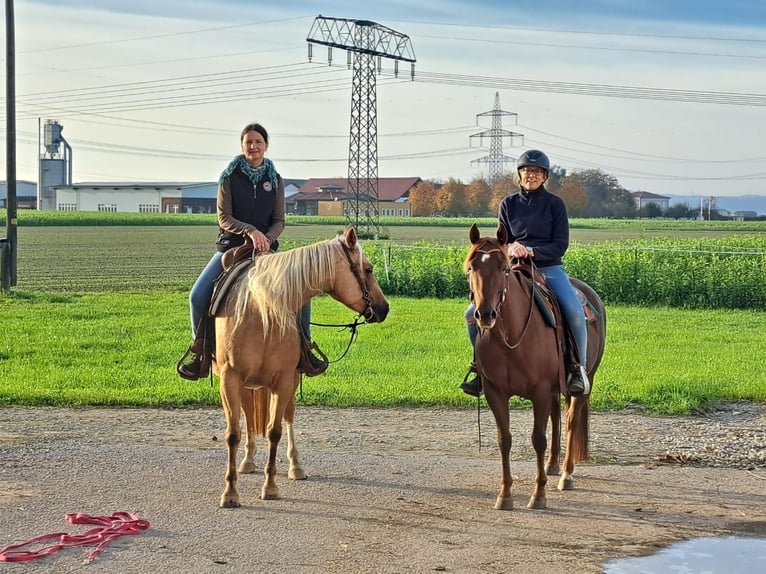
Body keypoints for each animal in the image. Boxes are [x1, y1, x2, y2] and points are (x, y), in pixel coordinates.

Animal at [214, 227, 390, 510]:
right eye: (369, 269)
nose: (384, 308)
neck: (261, 311)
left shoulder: (284, 380)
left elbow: (274, 431)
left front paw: (270, 487)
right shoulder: (230, 379)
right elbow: (233, 434)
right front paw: (230, 493)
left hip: (290, 382)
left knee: (287, 418)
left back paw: (295, 467)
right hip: (244, 385)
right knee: (248, 418)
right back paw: (248, 461)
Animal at [464, 225, 608, 512]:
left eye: (504, 268)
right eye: (471, 268)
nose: (485, 315)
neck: (510, 337)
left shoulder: (539, 391)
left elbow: (537, 439)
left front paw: (539, 495)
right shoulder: (495, 392)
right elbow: (504, 439)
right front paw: (504, 495)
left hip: (586, 381)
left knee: (571, 420)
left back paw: (566, 475)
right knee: (556, 416)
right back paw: (552, 466)